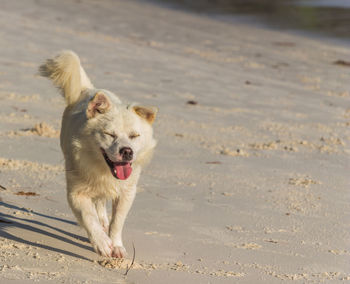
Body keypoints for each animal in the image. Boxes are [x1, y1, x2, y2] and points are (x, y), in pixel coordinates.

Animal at [38, 50, 157, 258]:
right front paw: (102, 243)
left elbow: (117, 222)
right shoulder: (76, 192)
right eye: (110, 134)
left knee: (101, 202)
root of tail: (89, 89)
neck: (102, 169)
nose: (127, 151)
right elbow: (88, 217)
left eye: (134, 136)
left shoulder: (126, 193)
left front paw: (116, 245)